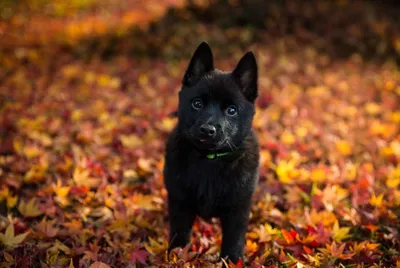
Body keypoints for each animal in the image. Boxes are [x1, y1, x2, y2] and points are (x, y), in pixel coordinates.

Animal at [162, 40, 260, 262]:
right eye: (197, 104)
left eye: (231, 110)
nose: (207, 130)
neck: (209, 160)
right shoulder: (180, 203)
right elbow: (180, 233)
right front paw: (177, 256)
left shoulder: (238, 209)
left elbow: (234, 239)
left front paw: (231, 262)